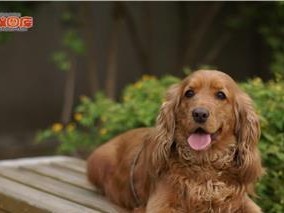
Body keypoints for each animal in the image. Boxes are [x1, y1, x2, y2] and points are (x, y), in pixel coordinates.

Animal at [87, 70, 264, 211]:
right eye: (189, 93)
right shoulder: (160, 203)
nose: (199, 114)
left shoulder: (242, 201)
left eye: (221, 95)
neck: (204, 164)